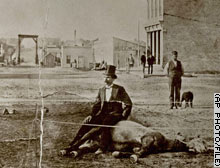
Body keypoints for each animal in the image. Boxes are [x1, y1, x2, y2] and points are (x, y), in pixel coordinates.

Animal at [59, 121, 208, 163]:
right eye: (199, 140)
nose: (205, 150)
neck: (165, 141)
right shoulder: (147, 138)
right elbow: (142, 151)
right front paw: (134, 157)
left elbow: (132, 151)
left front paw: (119, 154)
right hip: (94, 131)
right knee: (78, 141)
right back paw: (65, 150)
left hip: (93, 144)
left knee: (83, 148)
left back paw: (74, 153)